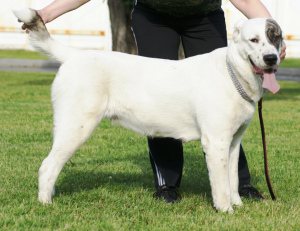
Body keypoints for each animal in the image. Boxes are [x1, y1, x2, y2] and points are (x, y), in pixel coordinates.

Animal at [14, 9, 282, 212]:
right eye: (254, 40)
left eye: (275, 37)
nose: (271, 58)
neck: (232, 72)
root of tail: (75, 55)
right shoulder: (215, 142)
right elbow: (220, 185)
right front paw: (225, 211)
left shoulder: (233, 142)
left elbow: (233, 179)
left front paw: (238, 206)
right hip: (76, 127)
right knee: (47, 166)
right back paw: (45, 204)